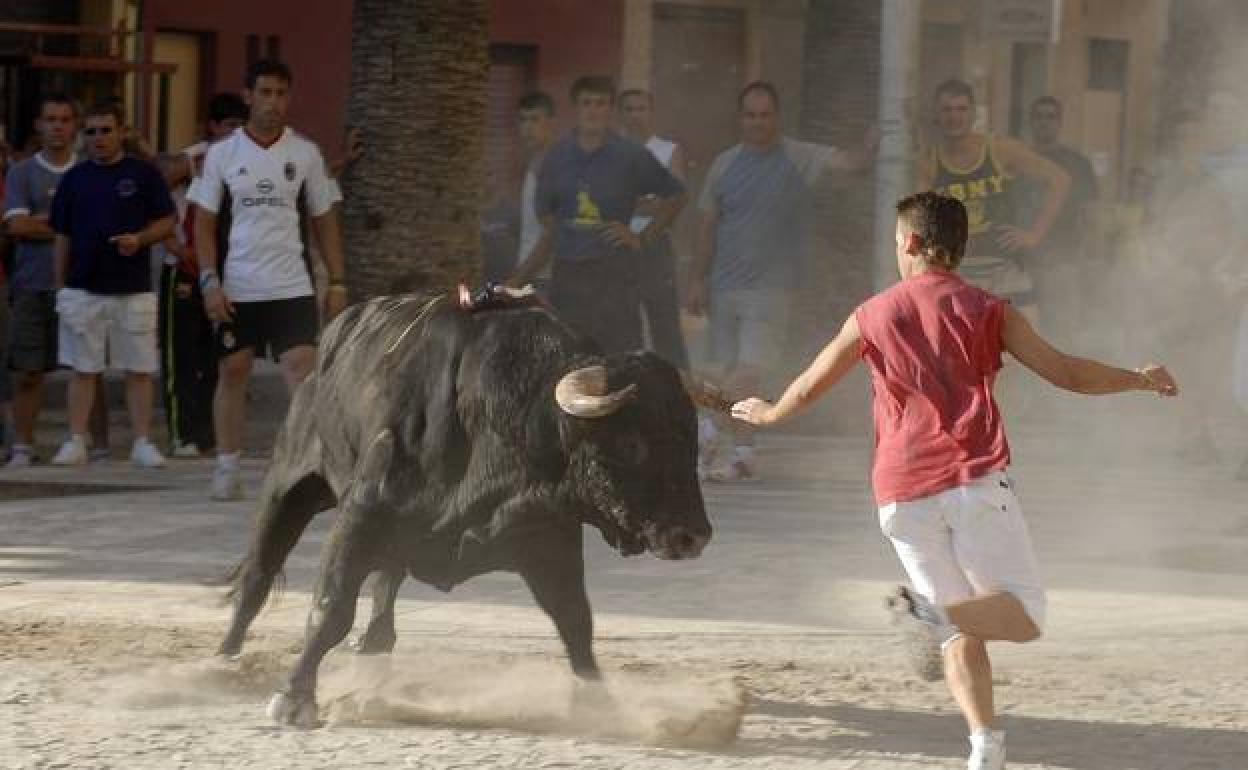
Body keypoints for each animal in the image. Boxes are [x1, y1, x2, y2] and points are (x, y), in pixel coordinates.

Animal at [219, 290, 718, 723]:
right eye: (633, 443)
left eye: (690, 439)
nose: (692, 535)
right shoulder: (361, 515)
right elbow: (330, 608)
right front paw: (294, 698)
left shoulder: (549, 541)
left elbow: (576, 621)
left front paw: (600, 707)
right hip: (291, 483)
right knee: (258, 574)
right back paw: (224, 659)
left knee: (387, 580)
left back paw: (374, 653)